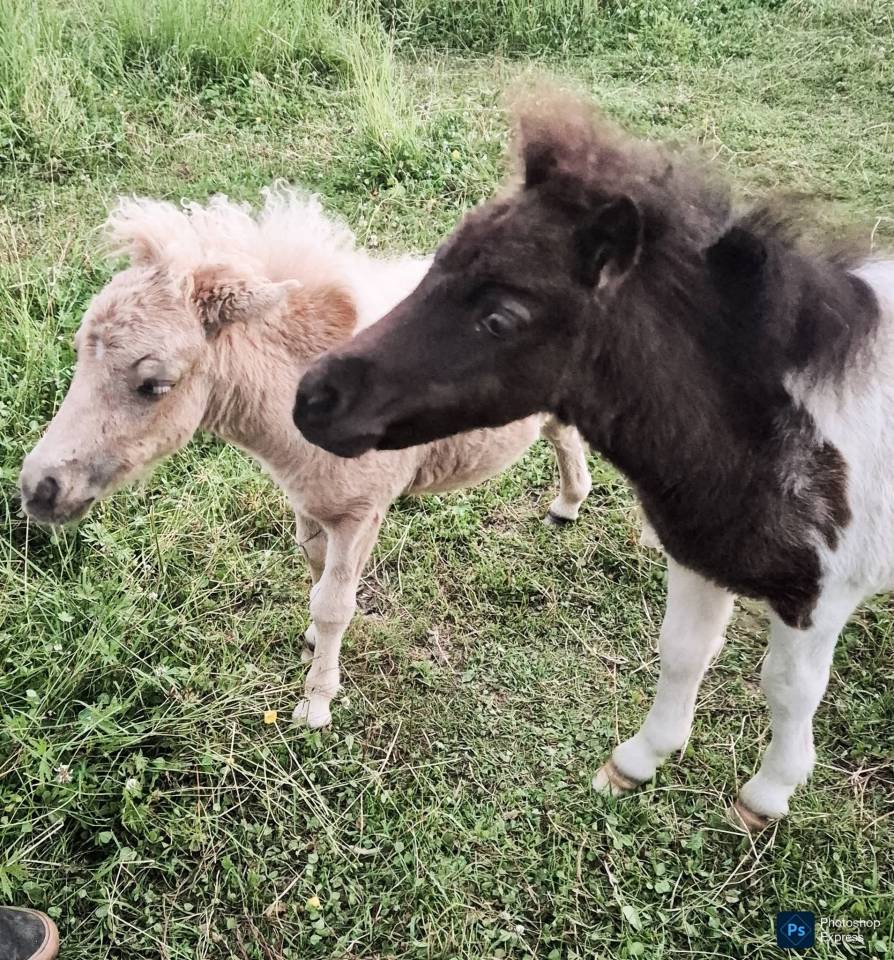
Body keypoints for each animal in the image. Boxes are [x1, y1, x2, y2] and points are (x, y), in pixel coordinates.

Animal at [18, 184, 596, 730]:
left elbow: (334, 603)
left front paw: (316, 703)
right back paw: (567, 504)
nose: (39, 488)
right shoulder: (314, 502)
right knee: (559, 429)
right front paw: (315, 646)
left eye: (154, 384)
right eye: (77, 351)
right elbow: (319, 575)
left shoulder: (359, 512)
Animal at [294, 91, 894, 828]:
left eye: (500, 318)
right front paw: (636, 762)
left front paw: (768, 796)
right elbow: (682, 654)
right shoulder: (701, 554)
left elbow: (789, 688)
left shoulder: (821, 594)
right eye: (436, 263)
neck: (779, 435)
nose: (314, 398)